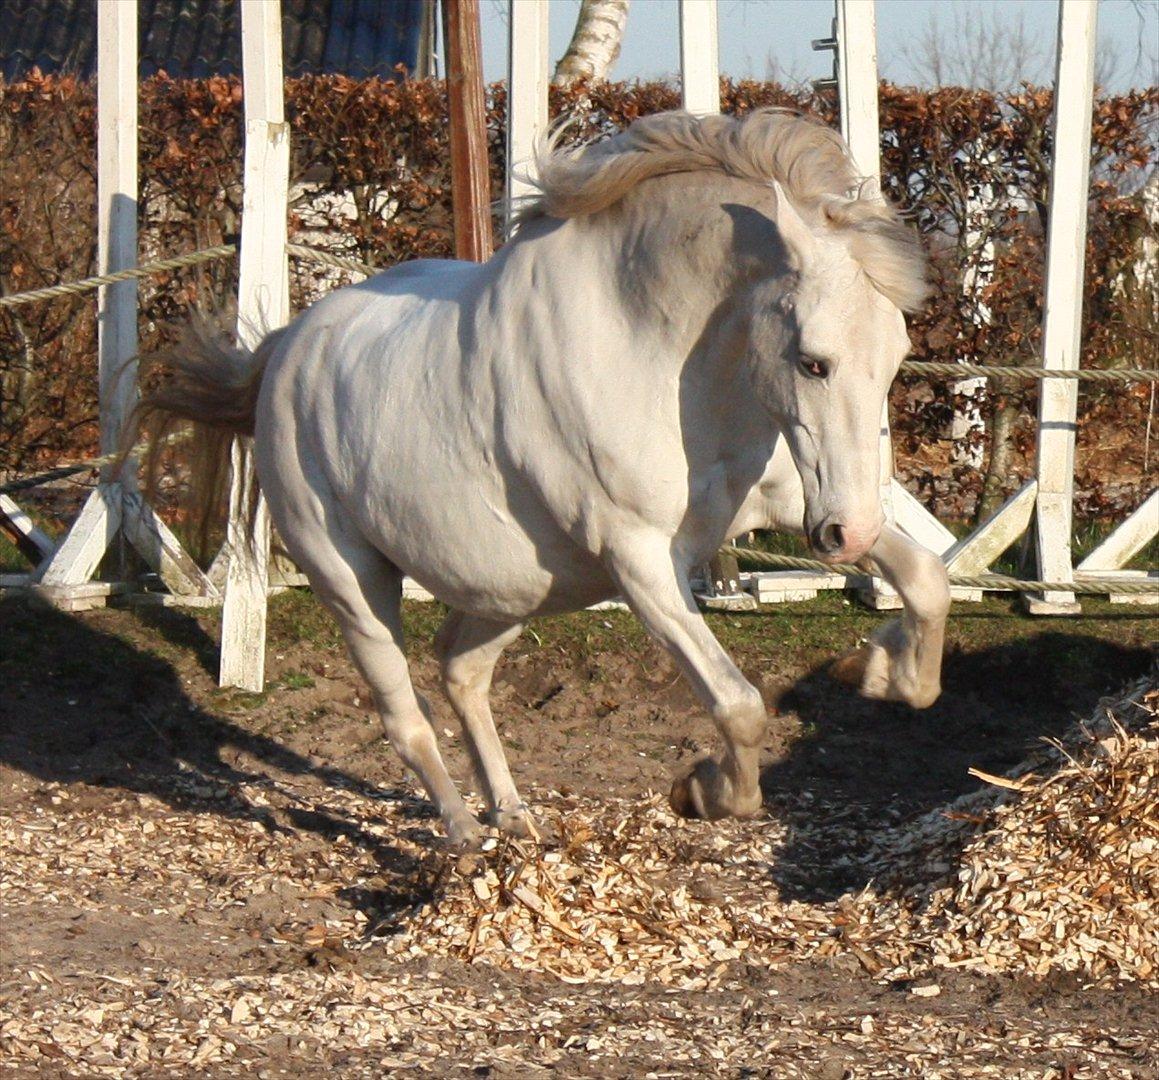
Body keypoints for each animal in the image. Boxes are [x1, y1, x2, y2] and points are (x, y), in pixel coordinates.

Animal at [140, 111, 945, 852]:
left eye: (895, 355)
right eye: (814, 361)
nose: (846, 534)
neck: (648, 348)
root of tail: (284, 352)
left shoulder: (777, 504)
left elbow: (927, 582)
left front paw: (880, 670)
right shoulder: (640, 561)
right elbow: (738, 703)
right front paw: (702, 791)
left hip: (513, 588)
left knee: (461, 672)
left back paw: (513, 815)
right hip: (353, 583)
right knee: (405, 716)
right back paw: (463, 832)